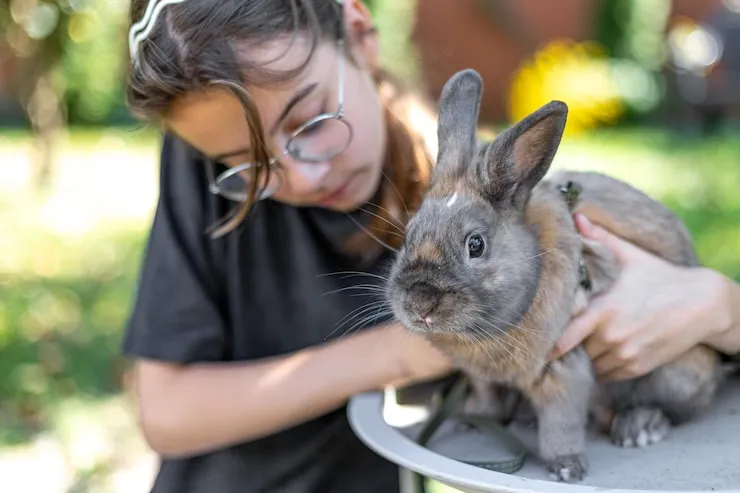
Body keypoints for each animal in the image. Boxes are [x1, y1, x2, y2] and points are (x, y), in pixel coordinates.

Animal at [385, 68, 722, 483]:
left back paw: (640, 426)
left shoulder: (563, 365)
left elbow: (561, 422)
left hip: (682, 371)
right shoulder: (481, 377)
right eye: (408, 235)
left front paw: (567, 467)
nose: (419, 304)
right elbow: (488, 397)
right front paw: (474, 418)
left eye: (476, 245)